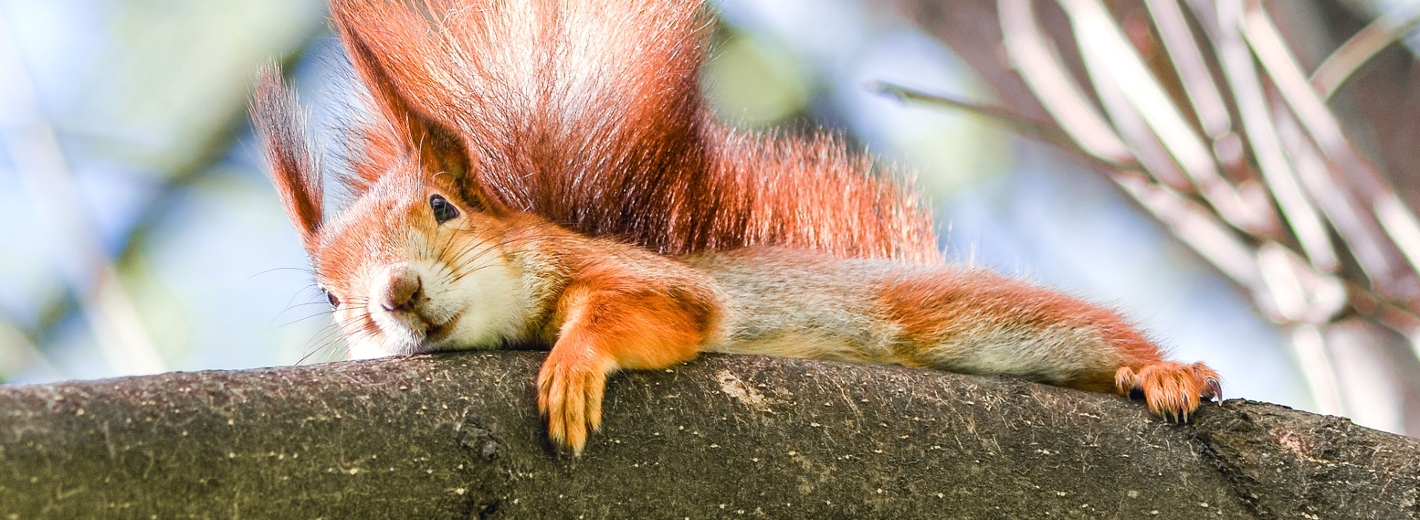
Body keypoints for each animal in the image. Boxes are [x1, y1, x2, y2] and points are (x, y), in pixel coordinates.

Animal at [247, 0, 1221, 454]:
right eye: (330, 298)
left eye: (444, 208)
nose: (397, 293)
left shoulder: (653, 279)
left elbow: (659, 309)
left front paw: (574, 361)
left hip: (955, 314)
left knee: (1084, 332)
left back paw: (1166, 372)